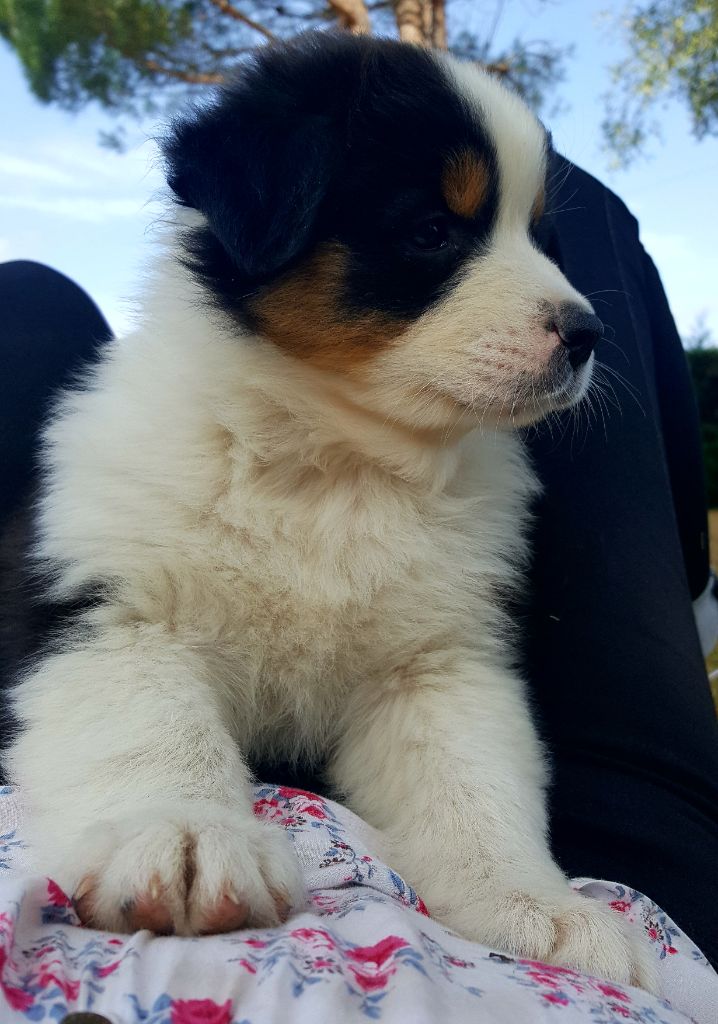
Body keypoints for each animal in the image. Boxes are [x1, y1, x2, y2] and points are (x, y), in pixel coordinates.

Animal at [3, 32, 655, 988]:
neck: (336, 465)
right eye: (432, 231)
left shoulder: (435, 663)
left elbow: (476, 784)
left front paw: (538, 906)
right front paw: (186, 836)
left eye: (542, 238)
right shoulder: (109, 612)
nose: (587, 336)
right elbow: (153, 731)